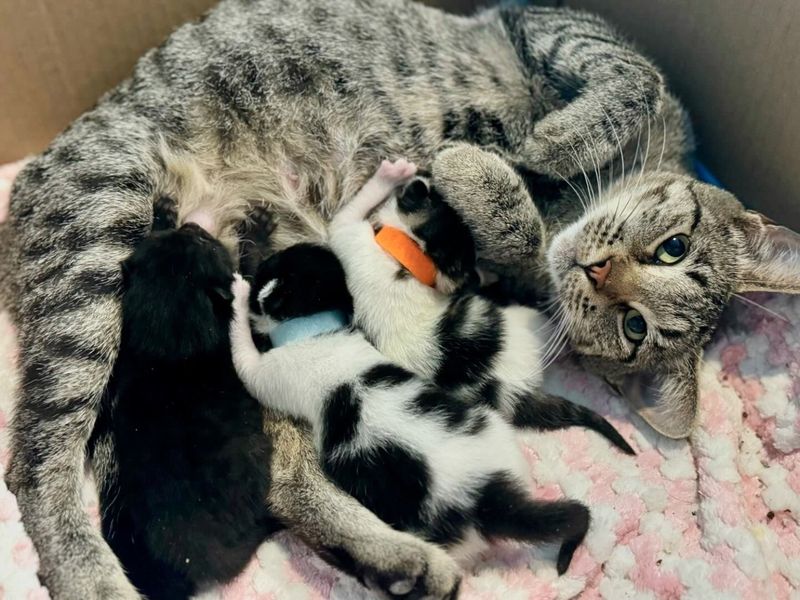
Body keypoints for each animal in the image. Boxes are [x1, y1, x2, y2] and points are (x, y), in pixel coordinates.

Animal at [228, 246, 592, 576]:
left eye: (268, 266)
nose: (254, 266)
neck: (321, 331)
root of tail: (486, 497)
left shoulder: (272, 371)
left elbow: (244, 361)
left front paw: (237, 295)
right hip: (495, 431)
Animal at [328, 159, 636, 454]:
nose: (426, 170)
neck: (411, 255)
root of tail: (508, 389)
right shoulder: (345, 234)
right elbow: (350, 210)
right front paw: (389, 175)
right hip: (531, 322)